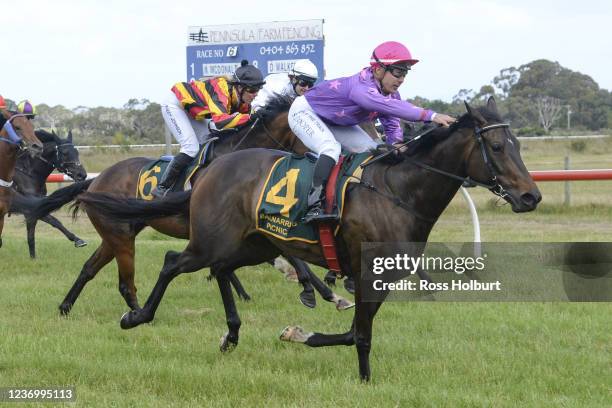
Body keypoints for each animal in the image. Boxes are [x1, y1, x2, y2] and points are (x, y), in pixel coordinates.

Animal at [28, 95, 354, 316]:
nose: (338, 156)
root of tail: (95, 181)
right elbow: (294, 259)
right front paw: (322, 292)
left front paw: (327, 292)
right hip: (120, 236)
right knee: (123, 280)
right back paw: (136, 311)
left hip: (117, 234)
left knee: (88, 268)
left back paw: (66, 306)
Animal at [76, 97, 540, 380]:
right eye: (498, 146)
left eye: (519, 144)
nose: (530, 196)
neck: (398, 192)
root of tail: (209, 171)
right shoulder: (366, 273)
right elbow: (360, 333)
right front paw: (353, 370)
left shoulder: (382, 277)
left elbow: (354, 332)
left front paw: (304, 336)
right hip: (209, 240)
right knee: (174, 262)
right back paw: (136, 316)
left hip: (253, 244)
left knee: (221, 269)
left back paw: (231, 335)